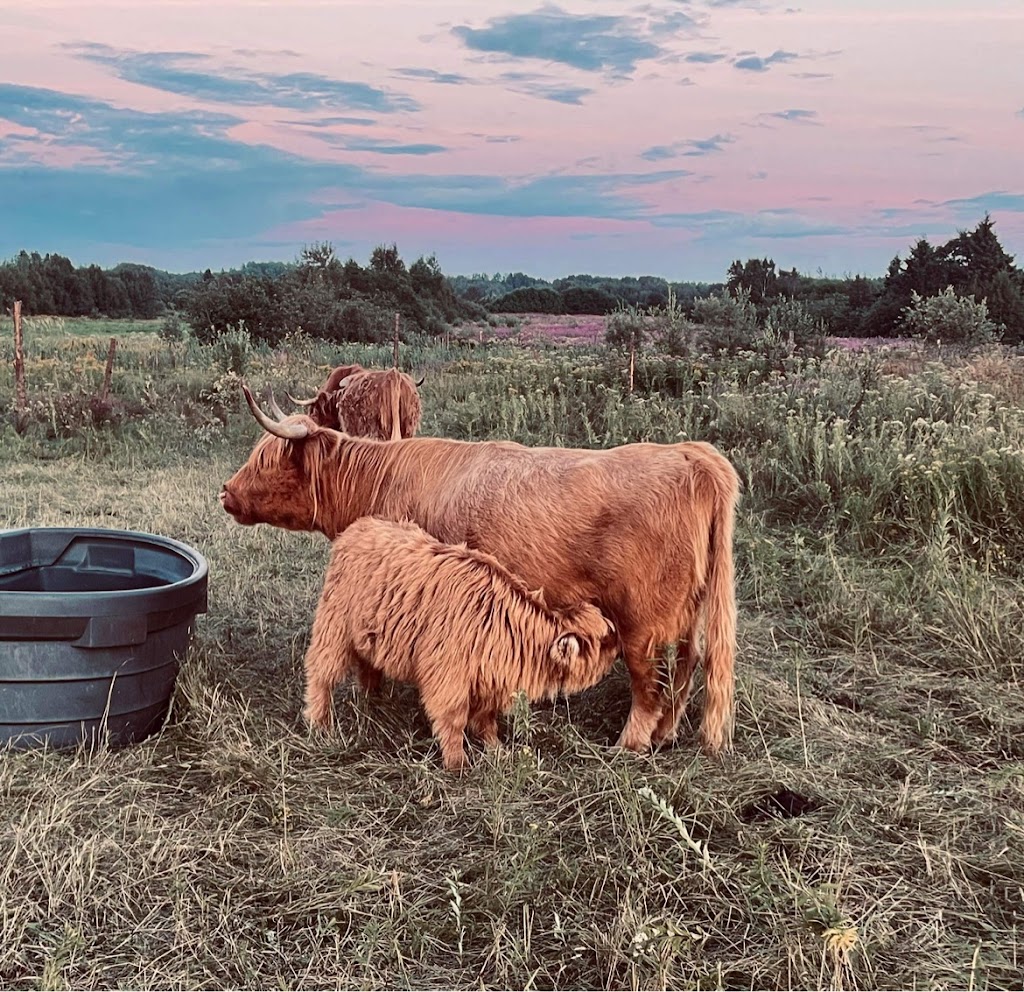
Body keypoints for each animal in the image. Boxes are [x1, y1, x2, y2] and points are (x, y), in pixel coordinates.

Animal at [303, 513, 618, 769]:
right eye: (603, 641)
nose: (619, 645)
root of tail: (358, 527)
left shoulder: (488, 680)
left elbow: (487, 720)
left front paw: (496, 750)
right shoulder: (448, 678)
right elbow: (453, 720)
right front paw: (458, 763)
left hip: (370, 633)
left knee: (368, 667)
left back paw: (373, 704)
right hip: (334, 627)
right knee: (321, 673)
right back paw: (320, 723)